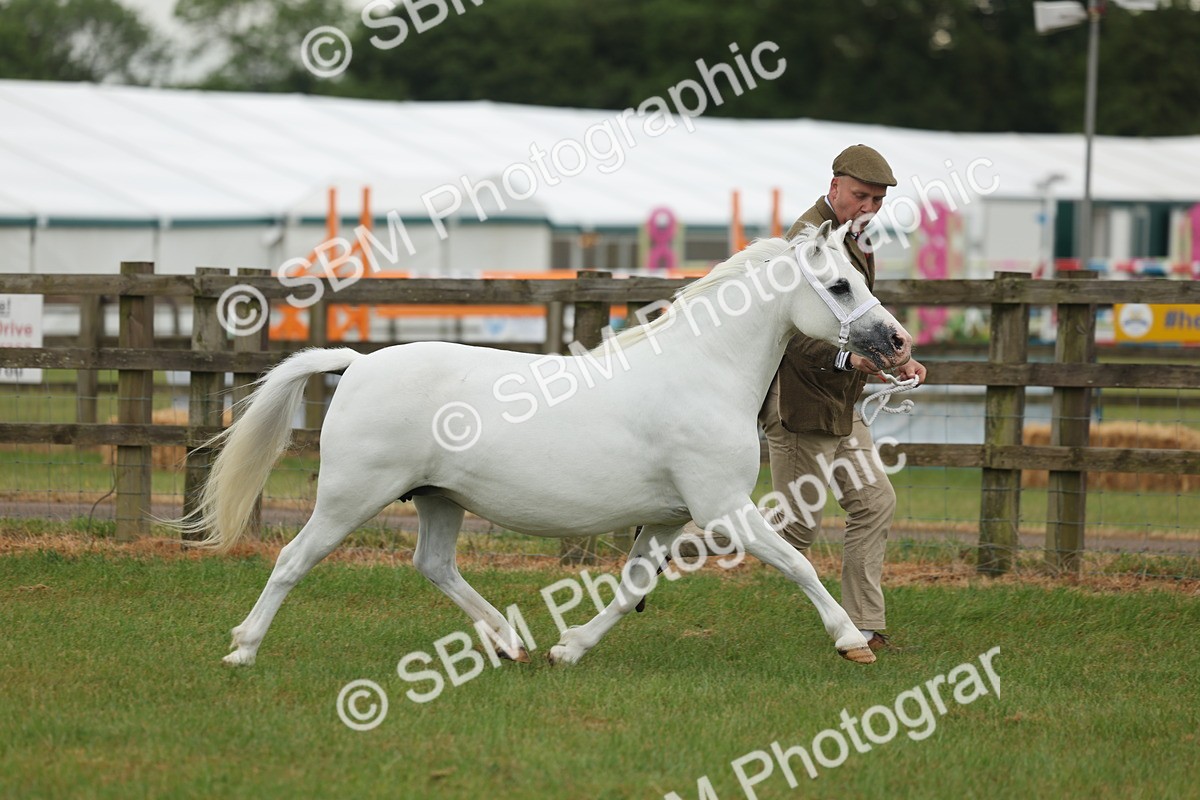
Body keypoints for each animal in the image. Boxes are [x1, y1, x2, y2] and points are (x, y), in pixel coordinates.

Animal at [179, 219, 913, 668]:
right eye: (840, 284)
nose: (897, 341)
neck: (702, 370)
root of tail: (356, 364)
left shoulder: (669, 518)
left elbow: (630, 587)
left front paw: (570, 648)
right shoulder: (723, 508)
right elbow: (798, 566)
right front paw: (851, 641)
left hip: (438, 498)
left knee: (434, 565)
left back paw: (509, 643)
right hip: (349, 498)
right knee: (292, 560)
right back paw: (243, 648)